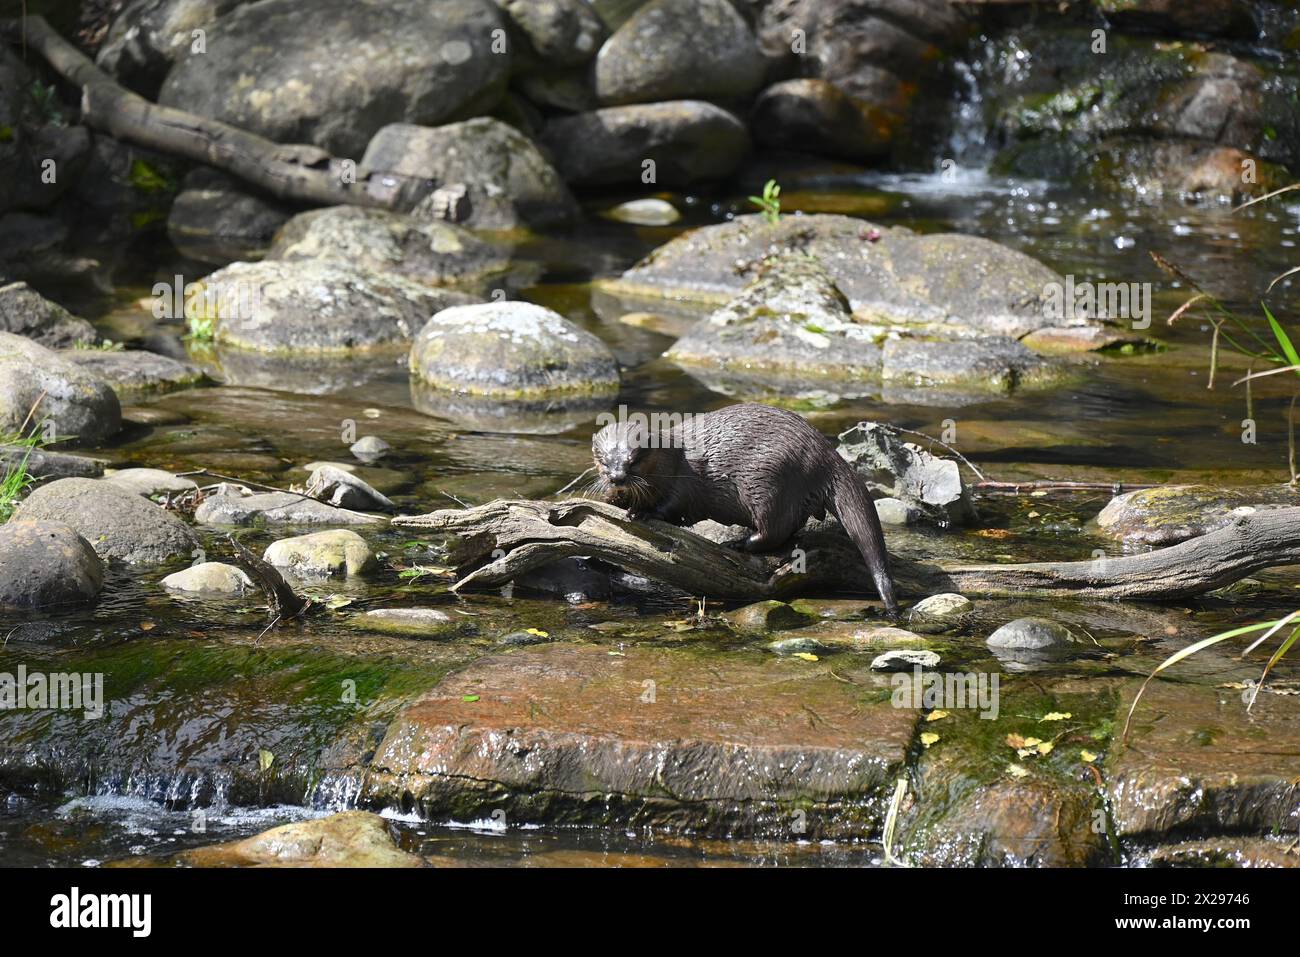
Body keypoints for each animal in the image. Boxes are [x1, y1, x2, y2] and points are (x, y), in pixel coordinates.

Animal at [595, 403, 899, 613]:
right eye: (603, 460)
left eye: (633, 459)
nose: (617, 477)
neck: (671, 459)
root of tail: (826, 454)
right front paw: (613, 499)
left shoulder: (684, 480)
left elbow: (675, 508)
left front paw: (643, 512)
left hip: (768, 483)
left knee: (774, 530)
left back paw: (738, 543)